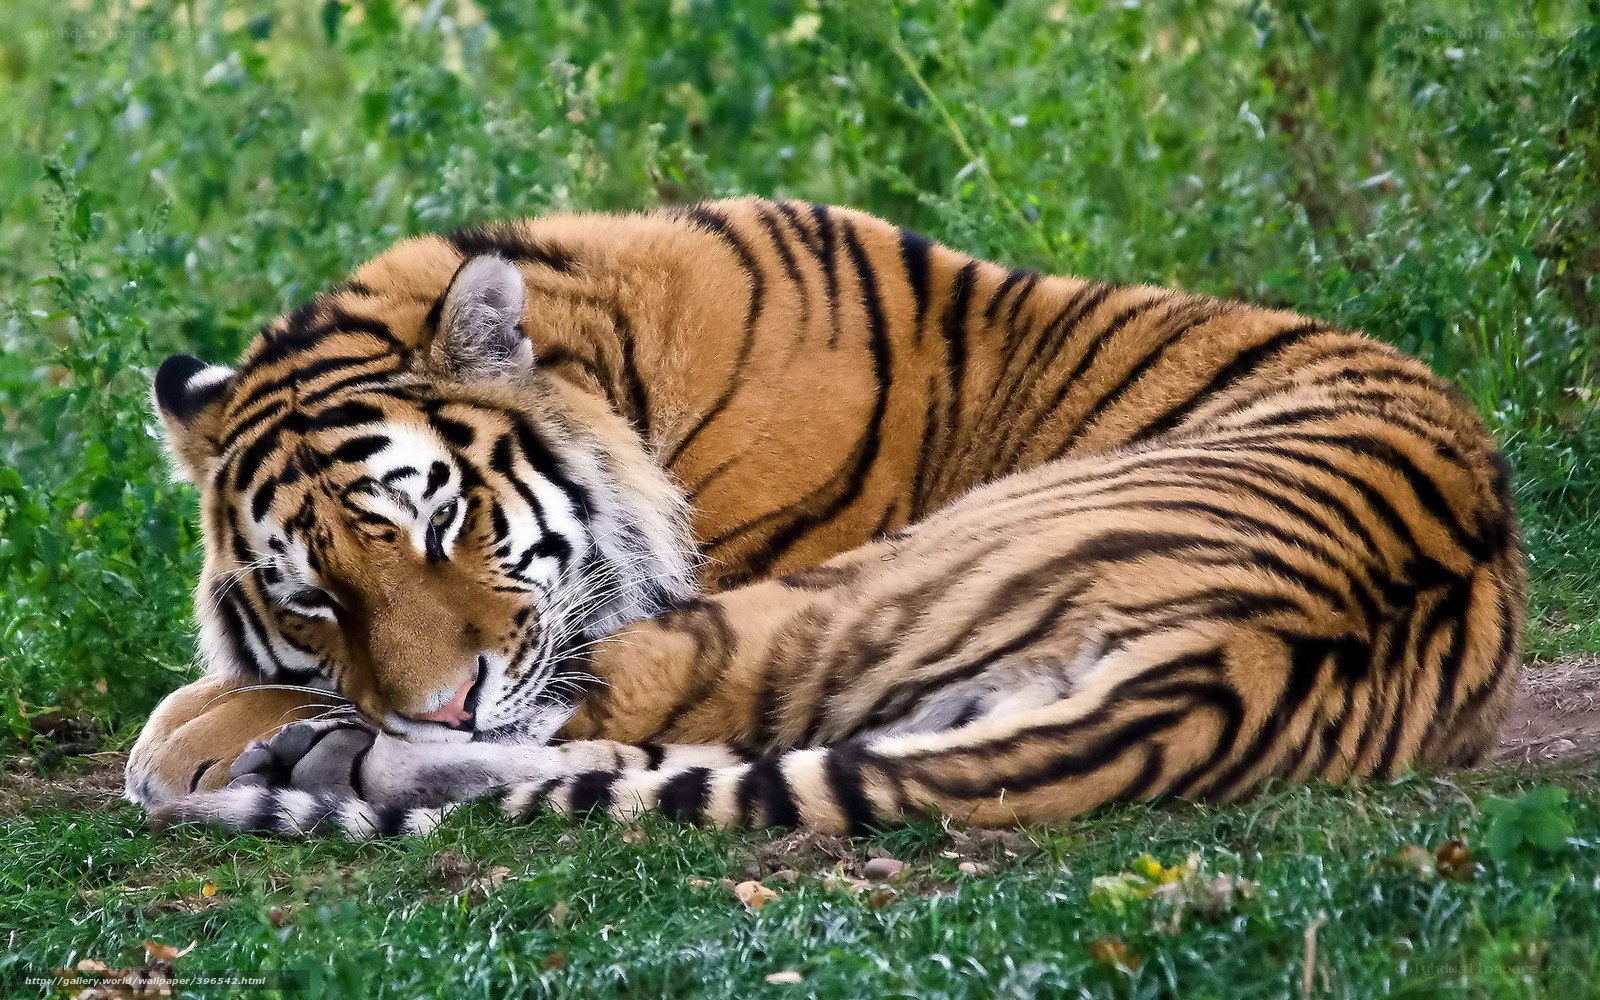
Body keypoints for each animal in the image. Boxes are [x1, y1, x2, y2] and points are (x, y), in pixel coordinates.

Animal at [126, 196, 1526, 839]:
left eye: (437, 526)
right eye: (314, 594)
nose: (442, 701)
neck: (611, 368)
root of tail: (1231, 658)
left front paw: (194, 739)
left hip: (840, 588)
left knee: (589, 726)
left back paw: (302, 756)